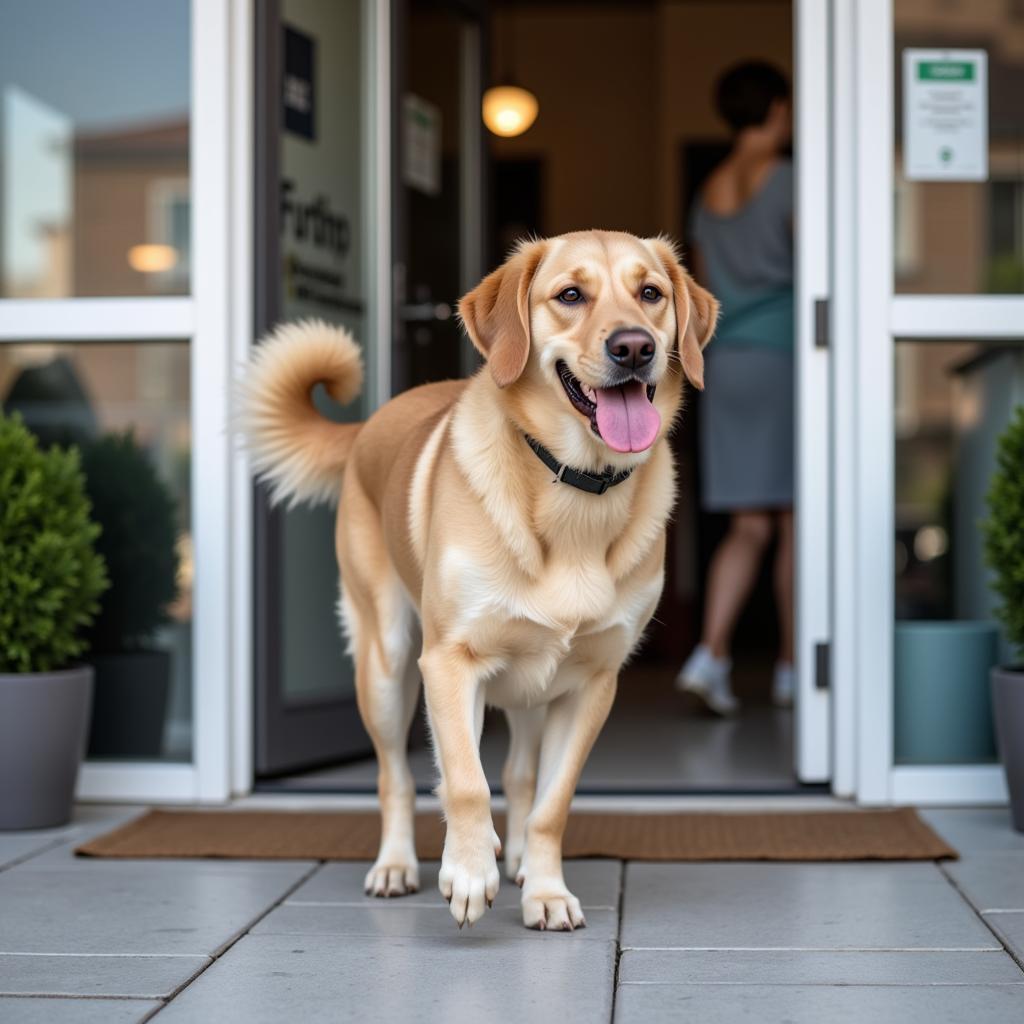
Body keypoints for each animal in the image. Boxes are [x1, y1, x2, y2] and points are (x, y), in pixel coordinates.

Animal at [239, 230, 720, 929]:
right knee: (396, 776)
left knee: (519, 776)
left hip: (531, 689)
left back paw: (515, 860)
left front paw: (545, 890)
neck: (574, 488)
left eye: (650, 293)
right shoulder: (448, 661)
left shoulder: (592, 683)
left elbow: (550, 801)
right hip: (386, 666)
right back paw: (396, 865)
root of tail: (371, 423)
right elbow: (465, 780)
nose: (635, 347)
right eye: (569, 295)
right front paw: (467, 871)